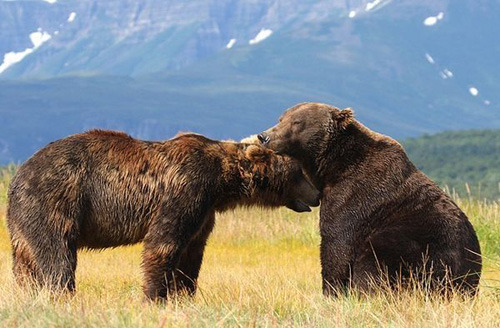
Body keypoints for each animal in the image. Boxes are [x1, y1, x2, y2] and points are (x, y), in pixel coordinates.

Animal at [6, 130, 320, 300]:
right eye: (299, 172)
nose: (316, 195)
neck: (222, 183)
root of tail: (17, 176)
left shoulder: (204, 211)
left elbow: (192, 254)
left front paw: (184, 294)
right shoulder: (187, 189)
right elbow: (164, 244)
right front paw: (154, 296)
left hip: (22, 224)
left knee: (25, 262)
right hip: (55, 201)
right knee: (57, 256)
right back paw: (62, 294)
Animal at [258, 102, 480, 294]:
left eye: (297, 122)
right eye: (281, 118)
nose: (264, 136)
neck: (333, 166)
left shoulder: (352, 196)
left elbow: (337, 245)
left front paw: (332, 292)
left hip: (420, 249)